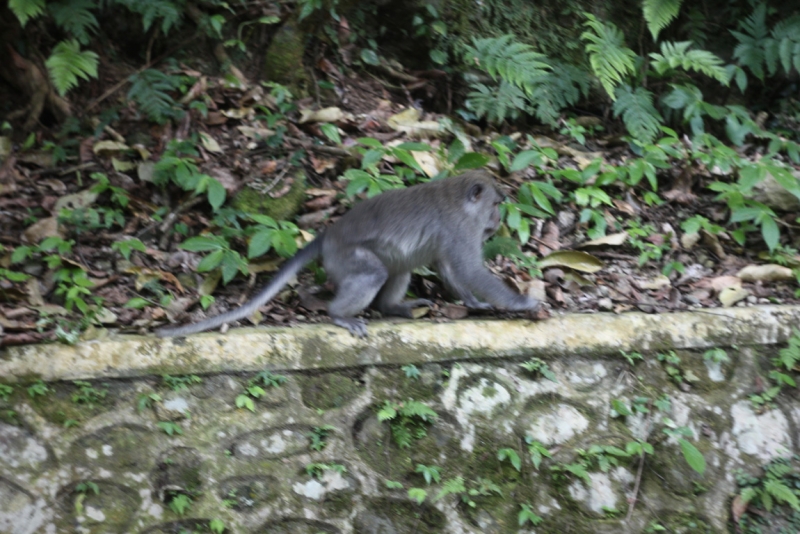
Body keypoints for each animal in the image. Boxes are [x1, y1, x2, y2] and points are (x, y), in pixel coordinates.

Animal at [155, 172, 544, 340]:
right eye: (496, 204)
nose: (497, 220)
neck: (462, 203)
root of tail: (328, 234)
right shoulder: (460, 228)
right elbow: (468, 268)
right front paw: (522, 302)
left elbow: (450, 267)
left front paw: (474, 303)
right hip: (345, 257)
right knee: (373, 273)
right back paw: (339, 315)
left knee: (397, 267)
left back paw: (391, 307)